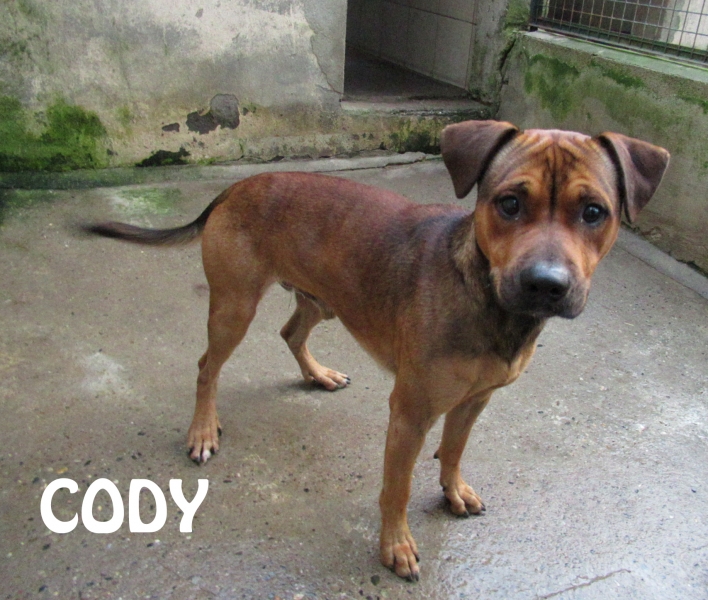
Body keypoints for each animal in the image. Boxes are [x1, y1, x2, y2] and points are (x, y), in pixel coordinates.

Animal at [84, 120, 669, 581]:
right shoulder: (409, 413)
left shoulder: (474, 401)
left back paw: (316, 374)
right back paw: (203, 430)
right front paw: (395, 546)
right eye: (509, 203)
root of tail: (238, 185)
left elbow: (453, 449)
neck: (485, 296)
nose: (545, 284)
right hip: (234, 308)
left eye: (593, 212)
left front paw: (452, 489)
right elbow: (397, 487)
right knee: (208, 366)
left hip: (322, 303)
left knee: (290, 334)